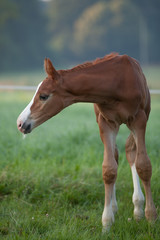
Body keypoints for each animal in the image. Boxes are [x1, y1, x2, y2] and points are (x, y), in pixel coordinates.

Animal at [16, 53, 157, 231]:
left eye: (43, 96)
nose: (20, 123)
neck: (117, 82)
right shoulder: (106, 122)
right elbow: (109, 169)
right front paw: (107, 223)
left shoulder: (139, 120)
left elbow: (143, 165)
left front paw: (151, 218)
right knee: (116, 155)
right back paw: (115, 207)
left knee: (130, 150)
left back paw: (138, 208)